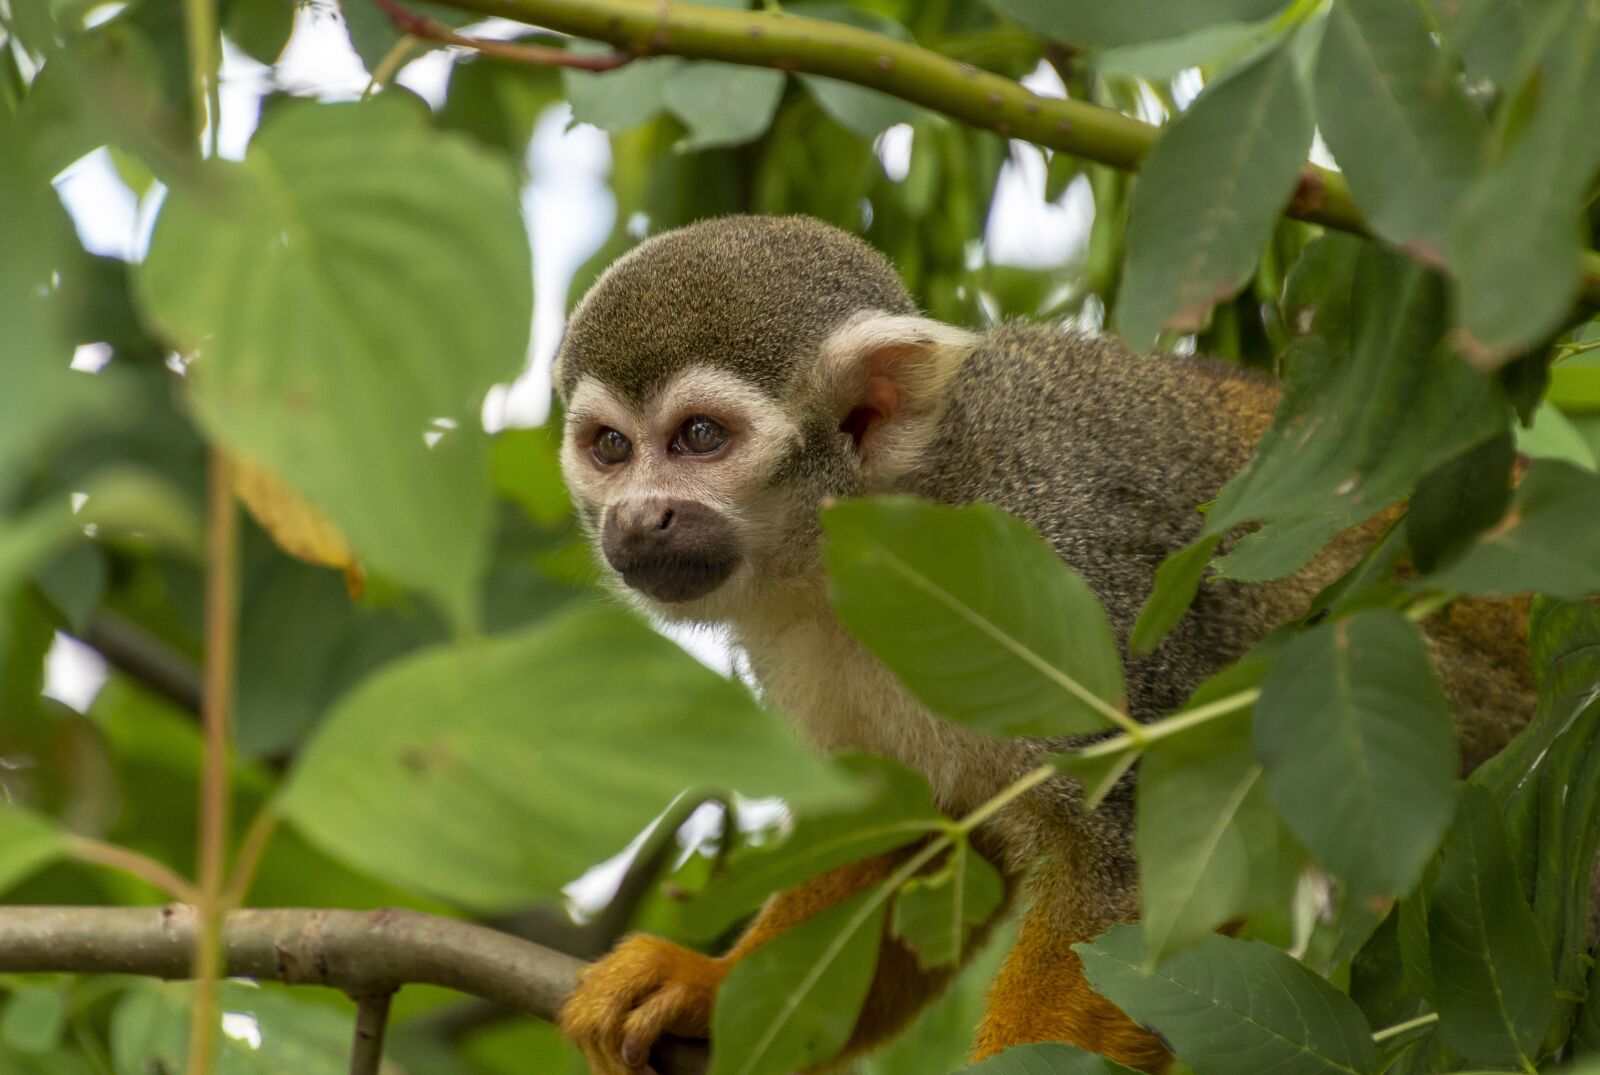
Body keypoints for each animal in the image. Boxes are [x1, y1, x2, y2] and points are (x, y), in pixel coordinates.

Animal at [550, 214, 1536, 1074]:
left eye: (699, 437)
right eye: (611, 447)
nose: (638, 519)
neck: (869, 535)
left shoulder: (1062, 556)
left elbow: (1139, 862)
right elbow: (920, 840)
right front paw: (707, 986)